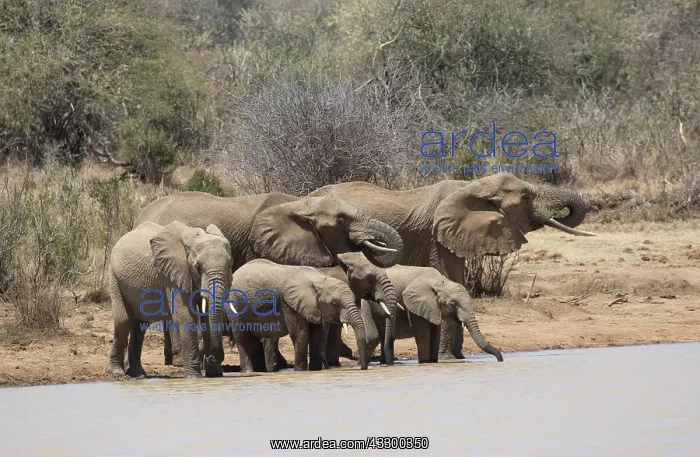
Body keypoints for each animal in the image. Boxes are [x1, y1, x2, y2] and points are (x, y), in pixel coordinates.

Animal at [107, 221, 232, 379]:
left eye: (229, 265)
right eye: (198, 266)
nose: (211, 358)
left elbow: (206, 320)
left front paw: (214, 375)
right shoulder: (172, 275)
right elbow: (187, 317)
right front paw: (194, 378)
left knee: (140, 326)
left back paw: (138, 374)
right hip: (115, 277)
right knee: (124, 322)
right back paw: (119, 374)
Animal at [225, 259, 369, 372]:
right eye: (334, 303)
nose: (363, 368)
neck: (319, 280)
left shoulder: (312, 307)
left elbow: (317, 336)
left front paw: (315, 370)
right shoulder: (289, 304)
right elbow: (301, 334)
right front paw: (300, 371)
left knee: (254, 341)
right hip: (234, 305)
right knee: (243, 339)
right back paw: (248, 372)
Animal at [355, 265, 503, 363]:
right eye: (453, 303)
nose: (500, 359)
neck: (440, 282)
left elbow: (438, 330)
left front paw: (434, 361)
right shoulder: (413, 305)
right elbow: (422, 332)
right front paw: (425, 362)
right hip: (366, 304)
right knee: (373, 336)